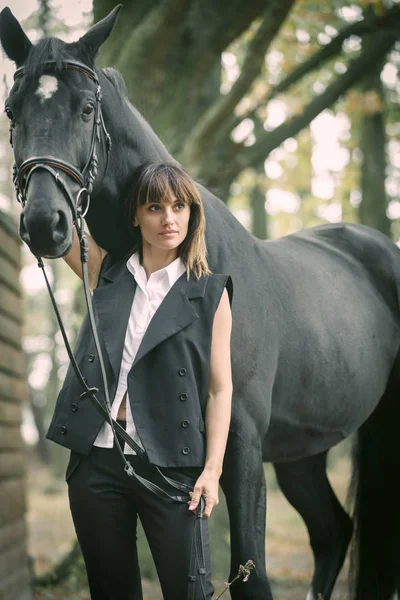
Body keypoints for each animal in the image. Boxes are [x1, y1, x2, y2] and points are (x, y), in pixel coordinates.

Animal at [3, 5, 400, 600]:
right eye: (12, 109)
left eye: (87, 109)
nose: (45, 224)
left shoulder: (239, 444)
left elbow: (250, 573)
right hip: (304, 452)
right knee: (333, 531)